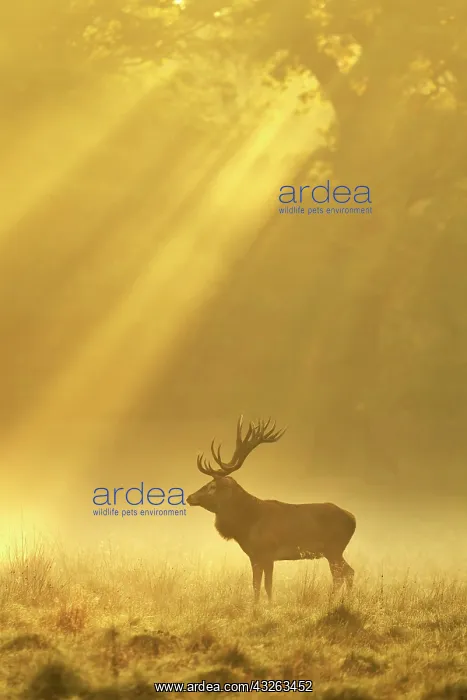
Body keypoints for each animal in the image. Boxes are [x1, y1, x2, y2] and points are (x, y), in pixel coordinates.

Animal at [187, 416, 356, 604]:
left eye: (212, 486)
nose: (190, 497)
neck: (247, 524)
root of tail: (353, 519)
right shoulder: (254, 556)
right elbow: (255, 585)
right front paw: (256, 605)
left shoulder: (268, 553)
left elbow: (267, 586)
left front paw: (268, 605)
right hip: (334, 550)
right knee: (349, 572)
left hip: (334, 548)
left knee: (341, 575)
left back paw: (332, 602)